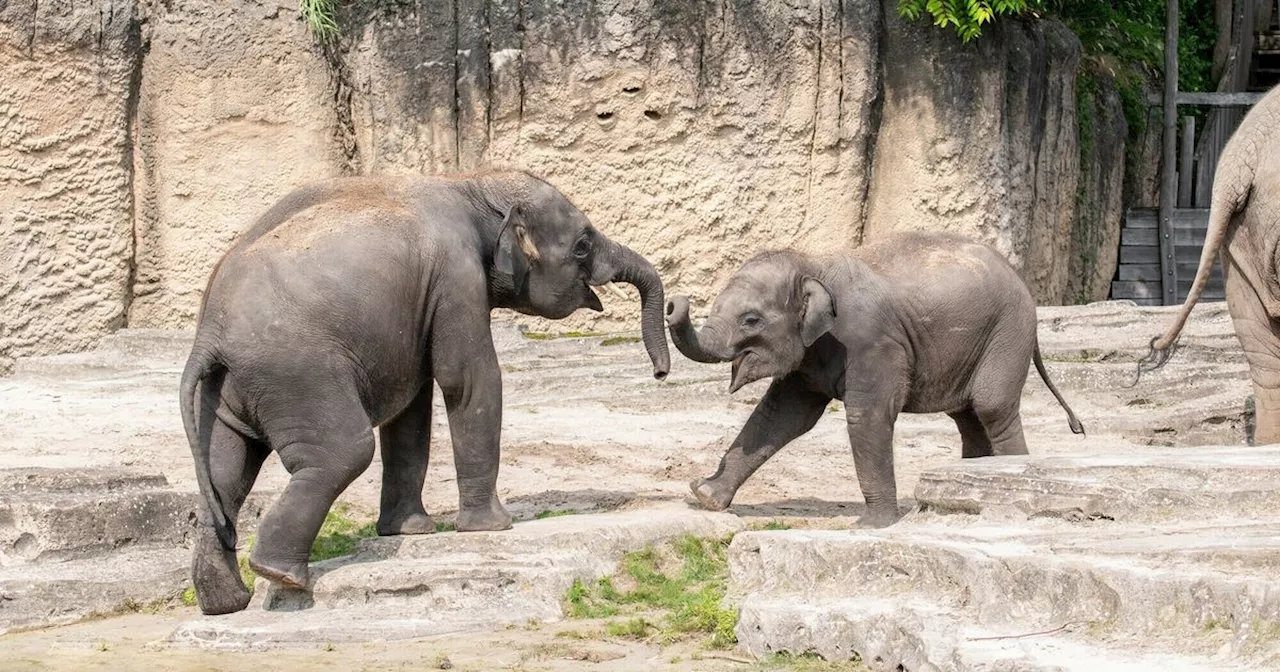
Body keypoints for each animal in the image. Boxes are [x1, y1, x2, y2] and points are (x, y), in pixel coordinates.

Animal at [184, 168, 675, 611]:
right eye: (582, 245)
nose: (660, 373)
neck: (471, 182)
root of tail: (208, 333)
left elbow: (412, 409)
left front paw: (408, 532)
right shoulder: (456, 276)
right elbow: (468, 380)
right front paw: (492, 528)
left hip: (230, 389)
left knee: (225, 473)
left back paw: (226, 602)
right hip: (297, 374)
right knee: (343, 452)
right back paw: (279, 574)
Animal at [665, 232, 1085, 527]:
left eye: (750, 320)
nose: (672, 302)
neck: (813, 263)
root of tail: (1020, 280)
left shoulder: (871, 341)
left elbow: (867, 417)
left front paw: (871, 525)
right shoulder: (812, 353)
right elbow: (780, 416)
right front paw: (706, 496)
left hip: (1008, 330)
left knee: (991, 406)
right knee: (967, 417)